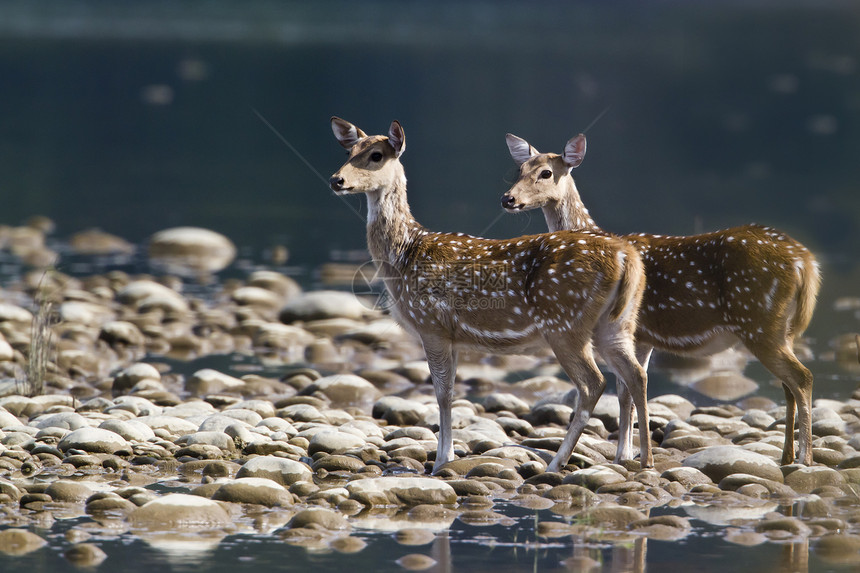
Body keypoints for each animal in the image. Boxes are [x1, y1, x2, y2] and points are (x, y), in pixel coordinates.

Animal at [330, 118, 652, 472]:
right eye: (348, 152)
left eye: (376, 155)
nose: (336, 179)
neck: (406, 256)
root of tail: (626, 257)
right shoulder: (451, 336)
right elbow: (451, 391)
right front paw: (446, 456)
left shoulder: (431, 324)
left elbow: (442, 393)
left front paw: (441, 461)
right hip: (617, 323)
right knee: (636, 375)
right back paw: (643, 458)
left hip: (564, 323)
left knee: (594, 383)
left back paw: (557, 463)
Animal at [504, 132, 820, 462]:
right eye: (520, 169)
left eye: (546, 173)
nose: (508, 198)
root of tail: (806, 262)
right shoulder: (642, 337)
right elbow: (627, 392)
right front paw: (626, 454)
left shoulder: (635, 333)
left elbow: (627, 390)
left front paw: (626, 455)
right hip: (783, 329)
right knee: (788, 384)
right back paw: (787, 456)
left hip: (759, 320)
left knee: (802, 378)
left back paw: (804, 458)